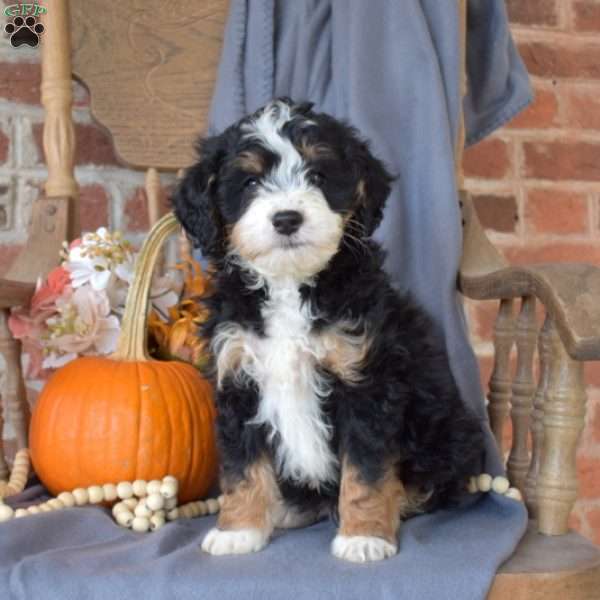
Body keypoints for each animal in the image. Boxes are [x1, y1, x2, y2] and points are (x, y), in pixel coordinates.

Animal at [173, 97, 488, 564]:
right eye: (250, 182)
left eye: (318, 176)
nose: (287, 218)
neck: (290, 284)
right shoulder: (239, 378)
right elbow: (242, 466)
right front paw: (239, 530)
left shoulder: (367, 382)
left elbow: (367, 471)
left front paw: (364, 535)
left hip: (450, 431)